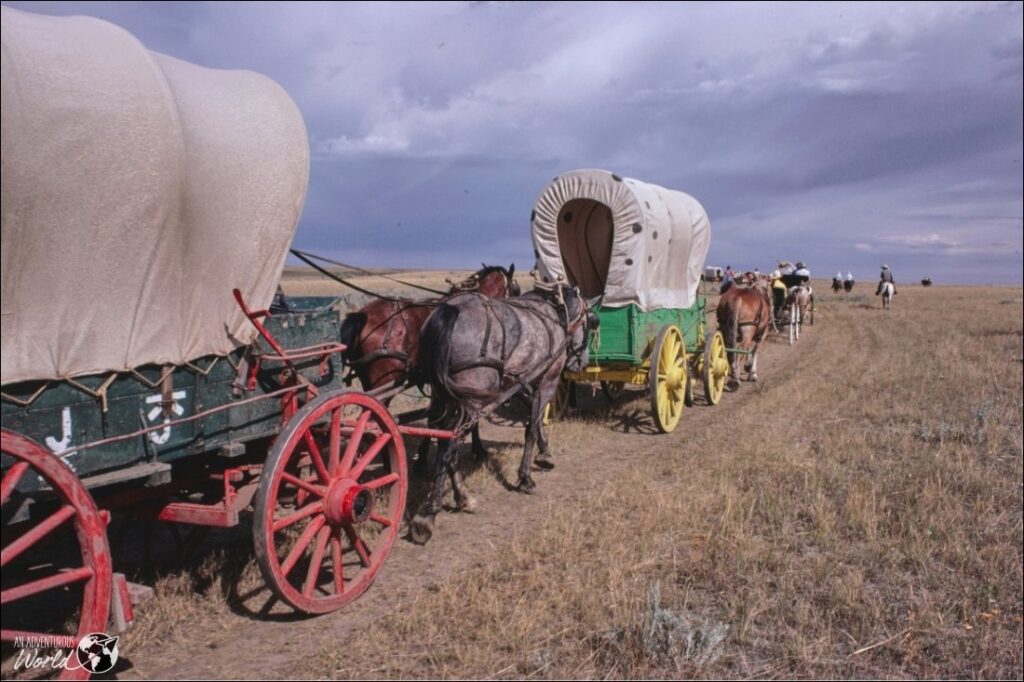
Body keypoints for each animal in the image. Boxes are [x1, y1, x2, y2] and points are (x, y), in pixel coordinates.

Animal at [409, 282, 598, 540]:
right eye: (592, 321)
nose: (581, 363)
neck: (554, 313)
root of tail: (448, 310)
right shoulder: (547, 380)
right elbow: (531, 426)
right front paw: (526, 477)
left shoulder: (519, 382)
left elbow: (534, 418)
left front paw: (545, 453)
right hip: (470, 399)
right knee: (450, 446)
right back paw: (430, 513)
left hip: (445, 395)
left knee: (442, 436)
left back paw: (462, 497)